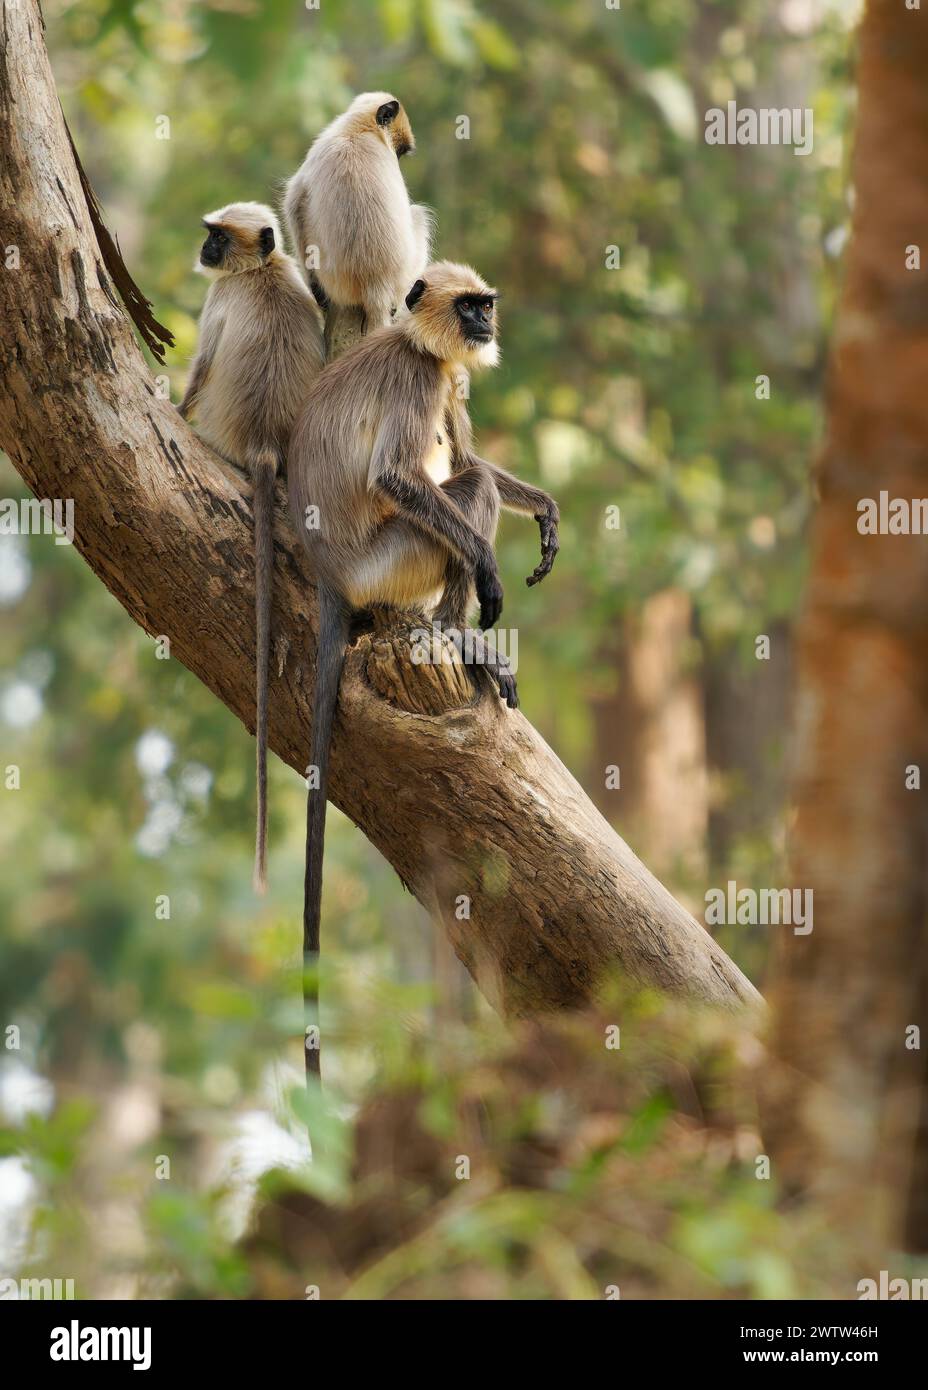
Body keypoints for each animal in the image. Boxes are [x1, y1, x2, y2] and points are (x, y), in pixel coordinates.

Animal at [283, 91, 430, 330]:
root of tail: (376, 285)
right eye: (397, 153)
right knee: (418, 214)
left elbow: (294, 203)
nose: (397, 158)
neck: (357, 130)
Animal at [290, 262, 561, 1084]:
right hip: (390, 558)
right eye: (469, 308)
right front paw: (488, 569)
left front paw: (545, 508)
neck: (416, 341)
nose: (485, 326)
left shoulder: (449, 378)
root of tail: (330, 573)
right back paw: (458, 633)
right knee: (463, 498)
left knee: (470, 479)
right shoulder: (422, 377)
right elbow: (399, 474)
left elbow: (470, 457)